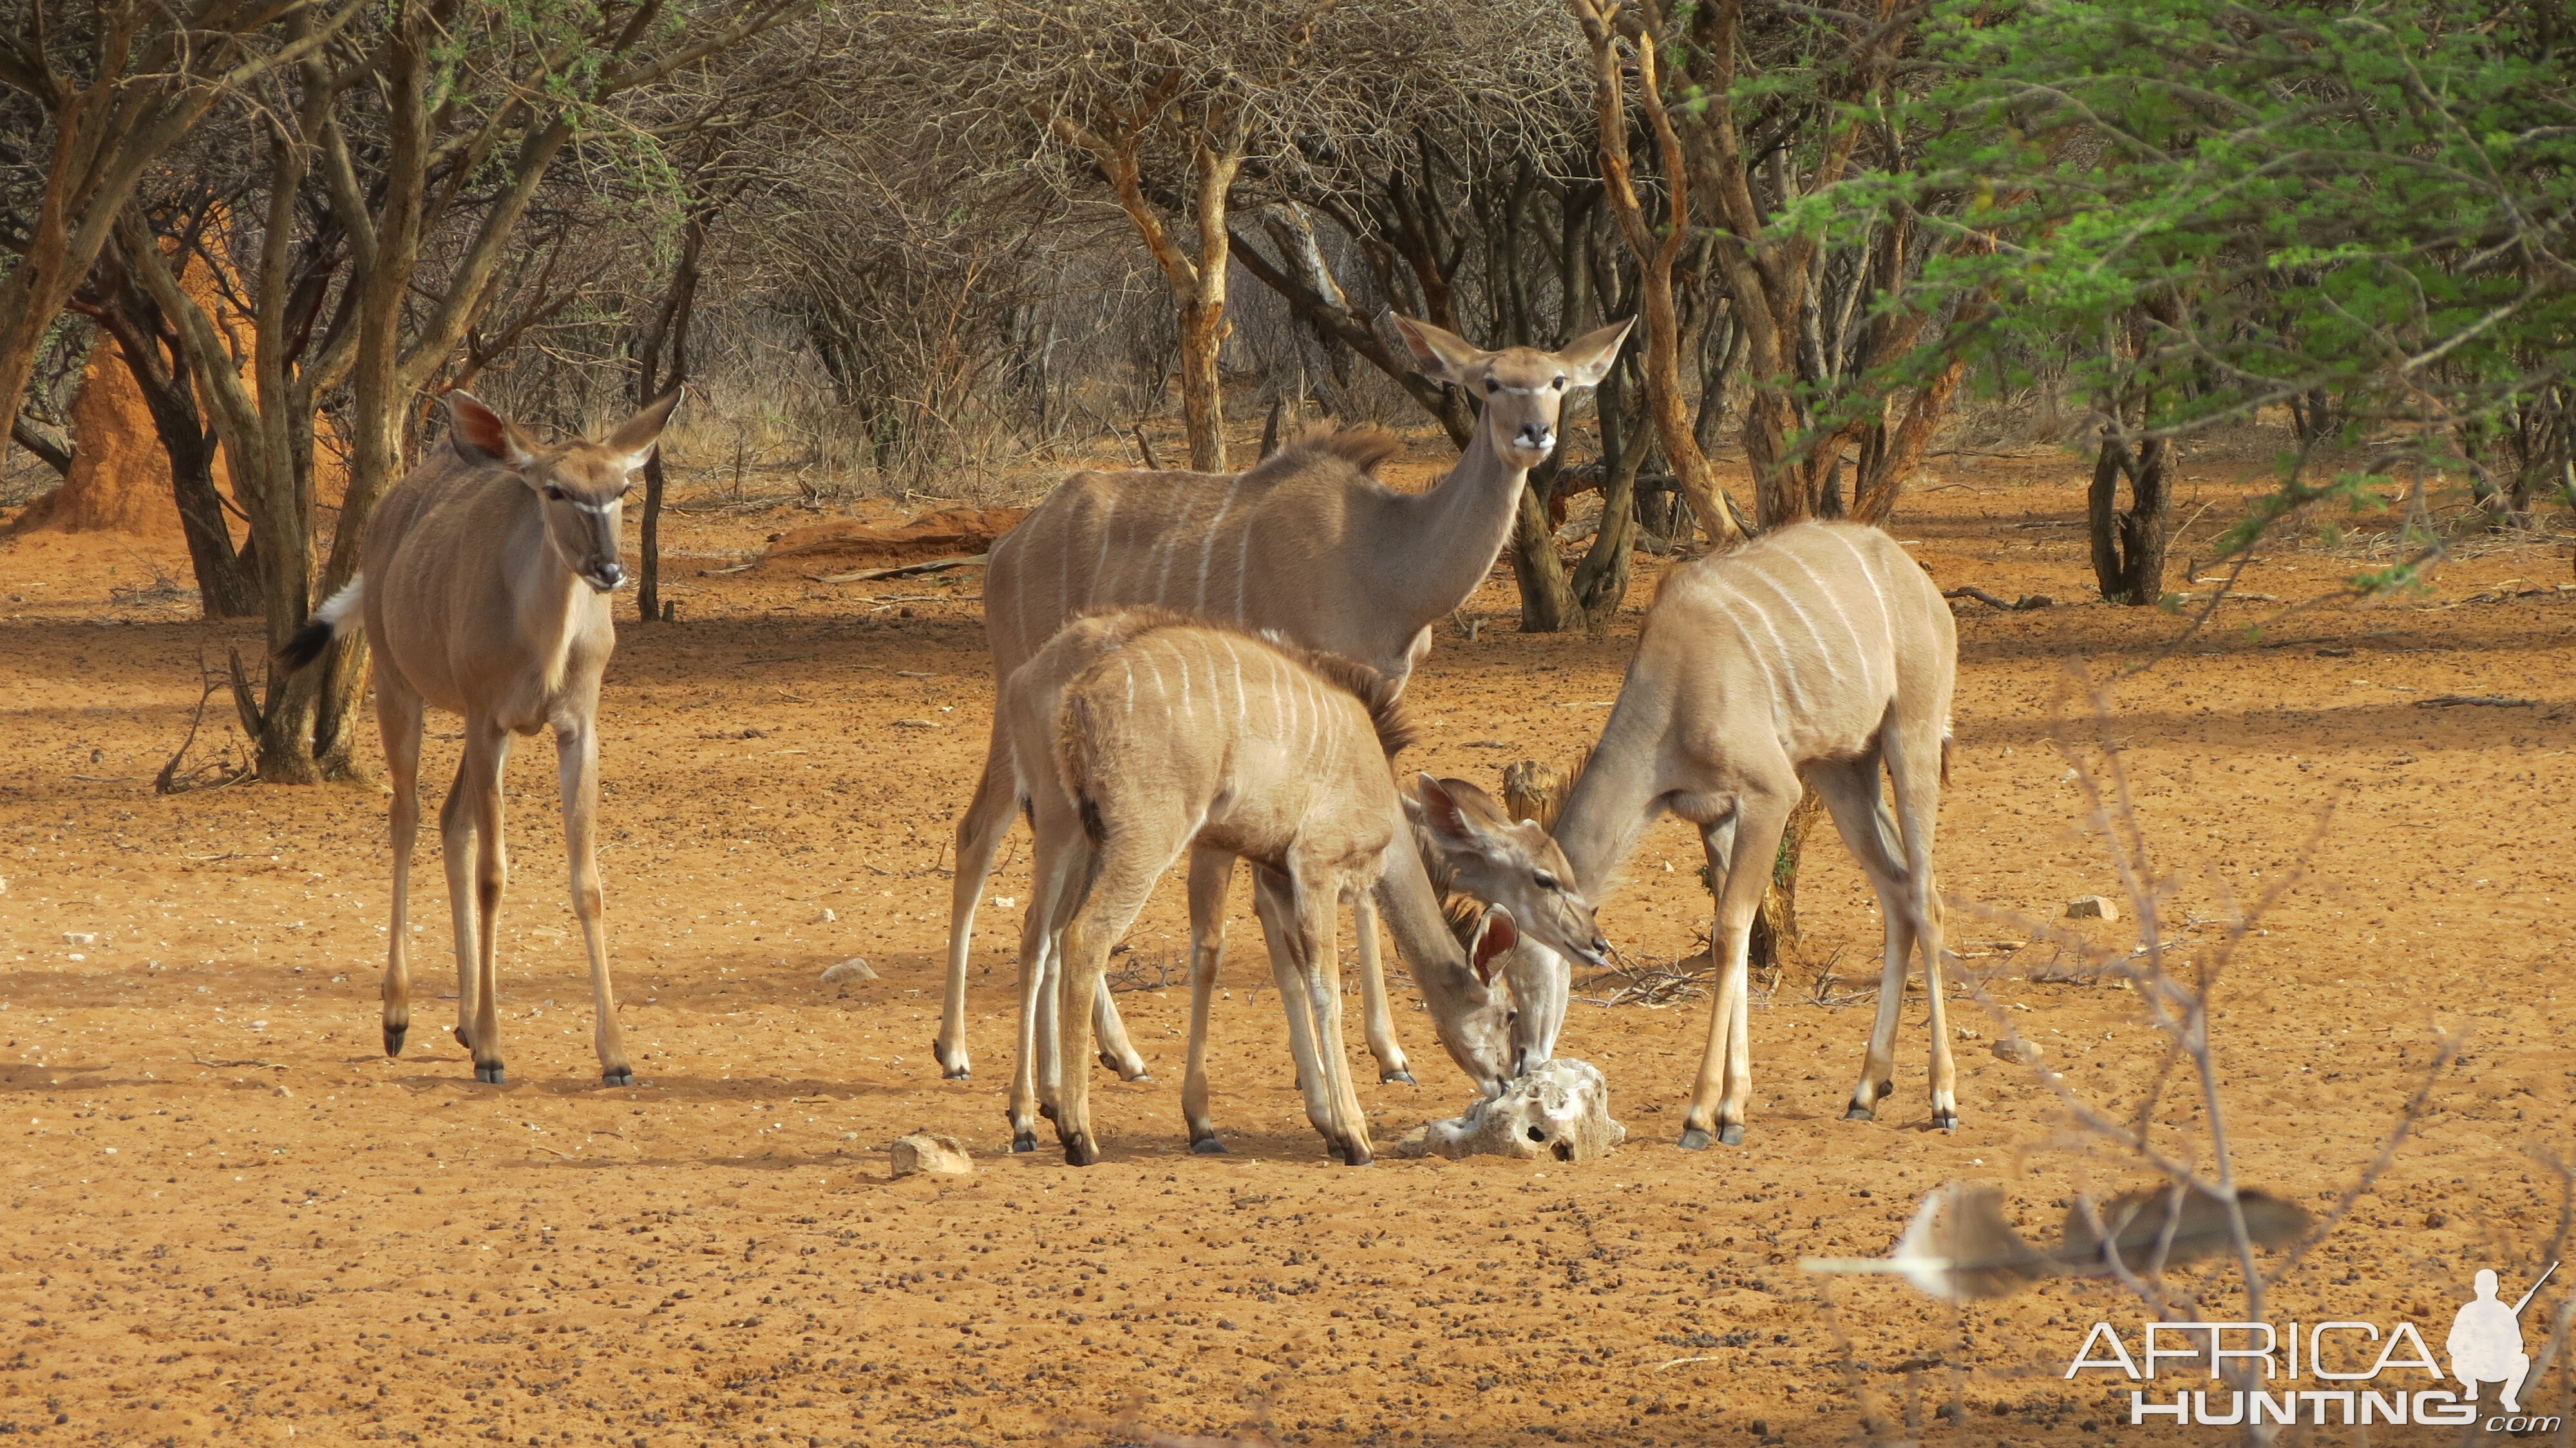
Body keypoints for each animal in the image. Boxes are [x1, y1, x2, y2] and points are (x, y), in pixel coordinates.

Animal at [279, 389, 675, 1077]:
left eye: (622, 488)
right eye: (555, 490)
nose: (609, 568)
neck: (543, 638)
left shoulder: (573, 730)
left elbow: (588, 882)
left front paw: (616, 1056)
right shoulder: (487, 720)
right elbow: (495, 876)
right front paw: (492, 1051)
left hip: (484, 730)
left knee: (450, 820)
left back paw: (462, 1020)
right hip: (399, 690)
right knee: (407, 816)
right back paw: (399, 1015)